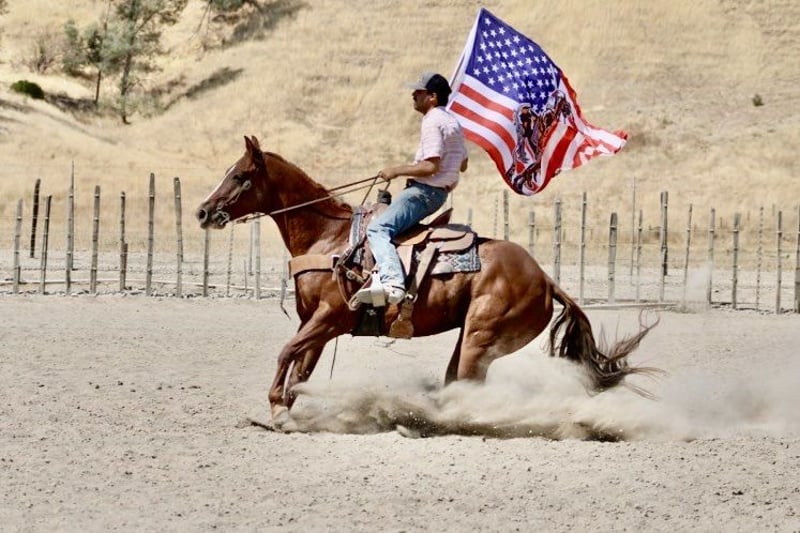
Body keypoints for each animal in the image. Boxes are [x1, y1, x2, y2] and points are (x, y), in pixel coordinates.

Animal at [197, 135, 657, 427]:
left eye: (239, 175)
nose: (202, 212)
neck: (328, 236)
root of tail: (545, 278)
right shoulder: (316, 325)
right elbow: (300, 369)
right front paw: (290, 411)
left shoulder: (329, 319)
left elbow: (286, 354)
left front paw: (276, 408)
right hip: (471, 337)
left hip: (481, 338)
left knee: (468, 387)